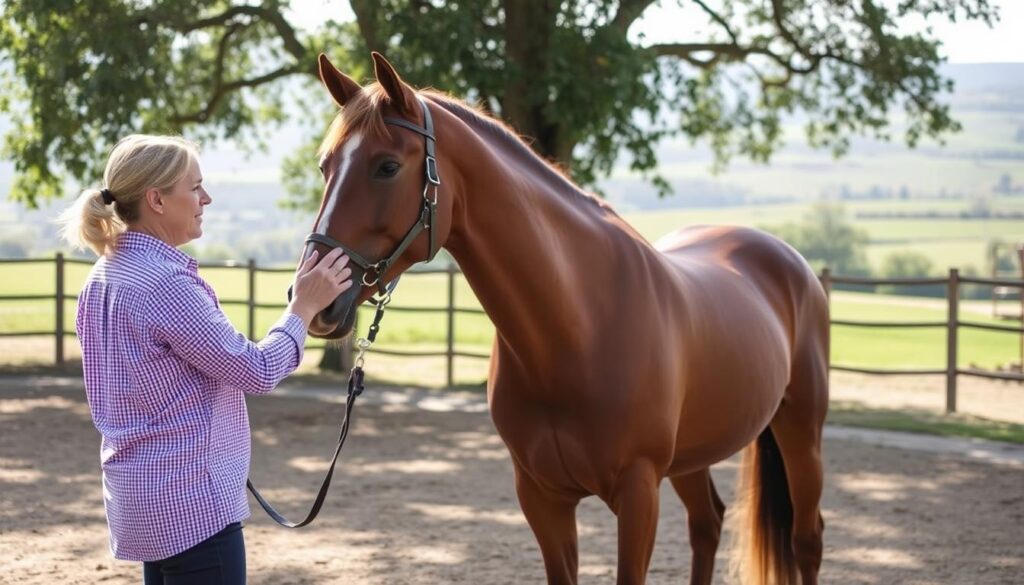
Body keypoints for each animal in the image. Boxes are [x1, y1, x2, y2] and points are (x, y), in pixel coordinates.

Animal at [303, 51, 831, 585]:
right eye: (326, 166)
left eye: (387, 167)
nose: (314, 296)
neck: (576, 326)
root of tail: (789, 259)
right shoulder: (542, 498)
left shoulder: (639, 493)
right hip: (693, 456)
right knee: (708, 524)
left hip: (800, 433)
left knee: (806, 539)